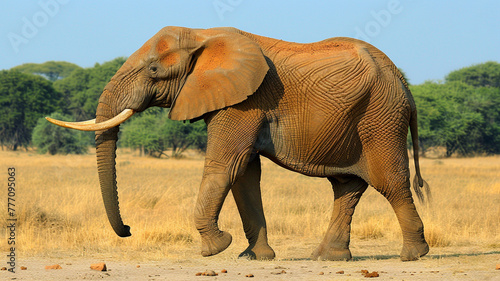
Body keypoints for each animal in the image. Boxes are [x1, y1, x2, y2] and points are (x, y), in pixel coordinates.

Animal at [47, 25, 430, 260]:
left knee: (389, 182)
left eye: (154, 70)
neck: (202, 35)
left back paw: (413, 255)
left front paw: (215, 248)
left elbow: (225, 165)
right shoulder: (237, 100)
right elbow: (245, 175)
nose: (127, 230)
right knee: (347, 185)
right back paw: (328, 258)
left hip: (380, 118)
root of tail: (404, 83)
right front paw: (255, 257)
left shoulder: (245, 100)